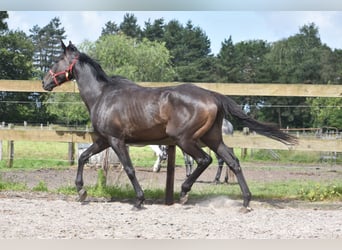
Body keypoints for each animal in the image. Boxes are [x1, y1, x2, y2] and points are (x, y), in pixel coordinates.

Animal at [42, 40, 296, 211]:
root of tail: (213, 96)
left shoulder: (116, 140)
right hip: (212, 138)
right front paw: (81, 192)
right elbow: (83, 158)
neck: (103, 95)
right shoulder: (103, 140)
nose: (44, 82)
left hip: (185, 139)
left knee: (205, 160)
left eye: (56, 60)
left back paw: (184, 193)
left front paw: (139, 200)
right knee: (232, 161)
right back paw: (245, 201)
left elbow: (129, 169)